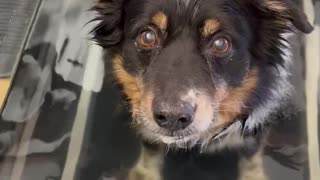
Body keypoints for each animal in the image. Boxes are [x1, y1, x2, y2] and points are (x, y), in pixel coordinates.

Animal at [90, 0, 312, 179]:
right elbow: (150, 149)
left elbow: (251, 156)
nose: (172, 118)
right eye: (147, 37)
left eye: (221, 43)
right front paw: (144, 174)